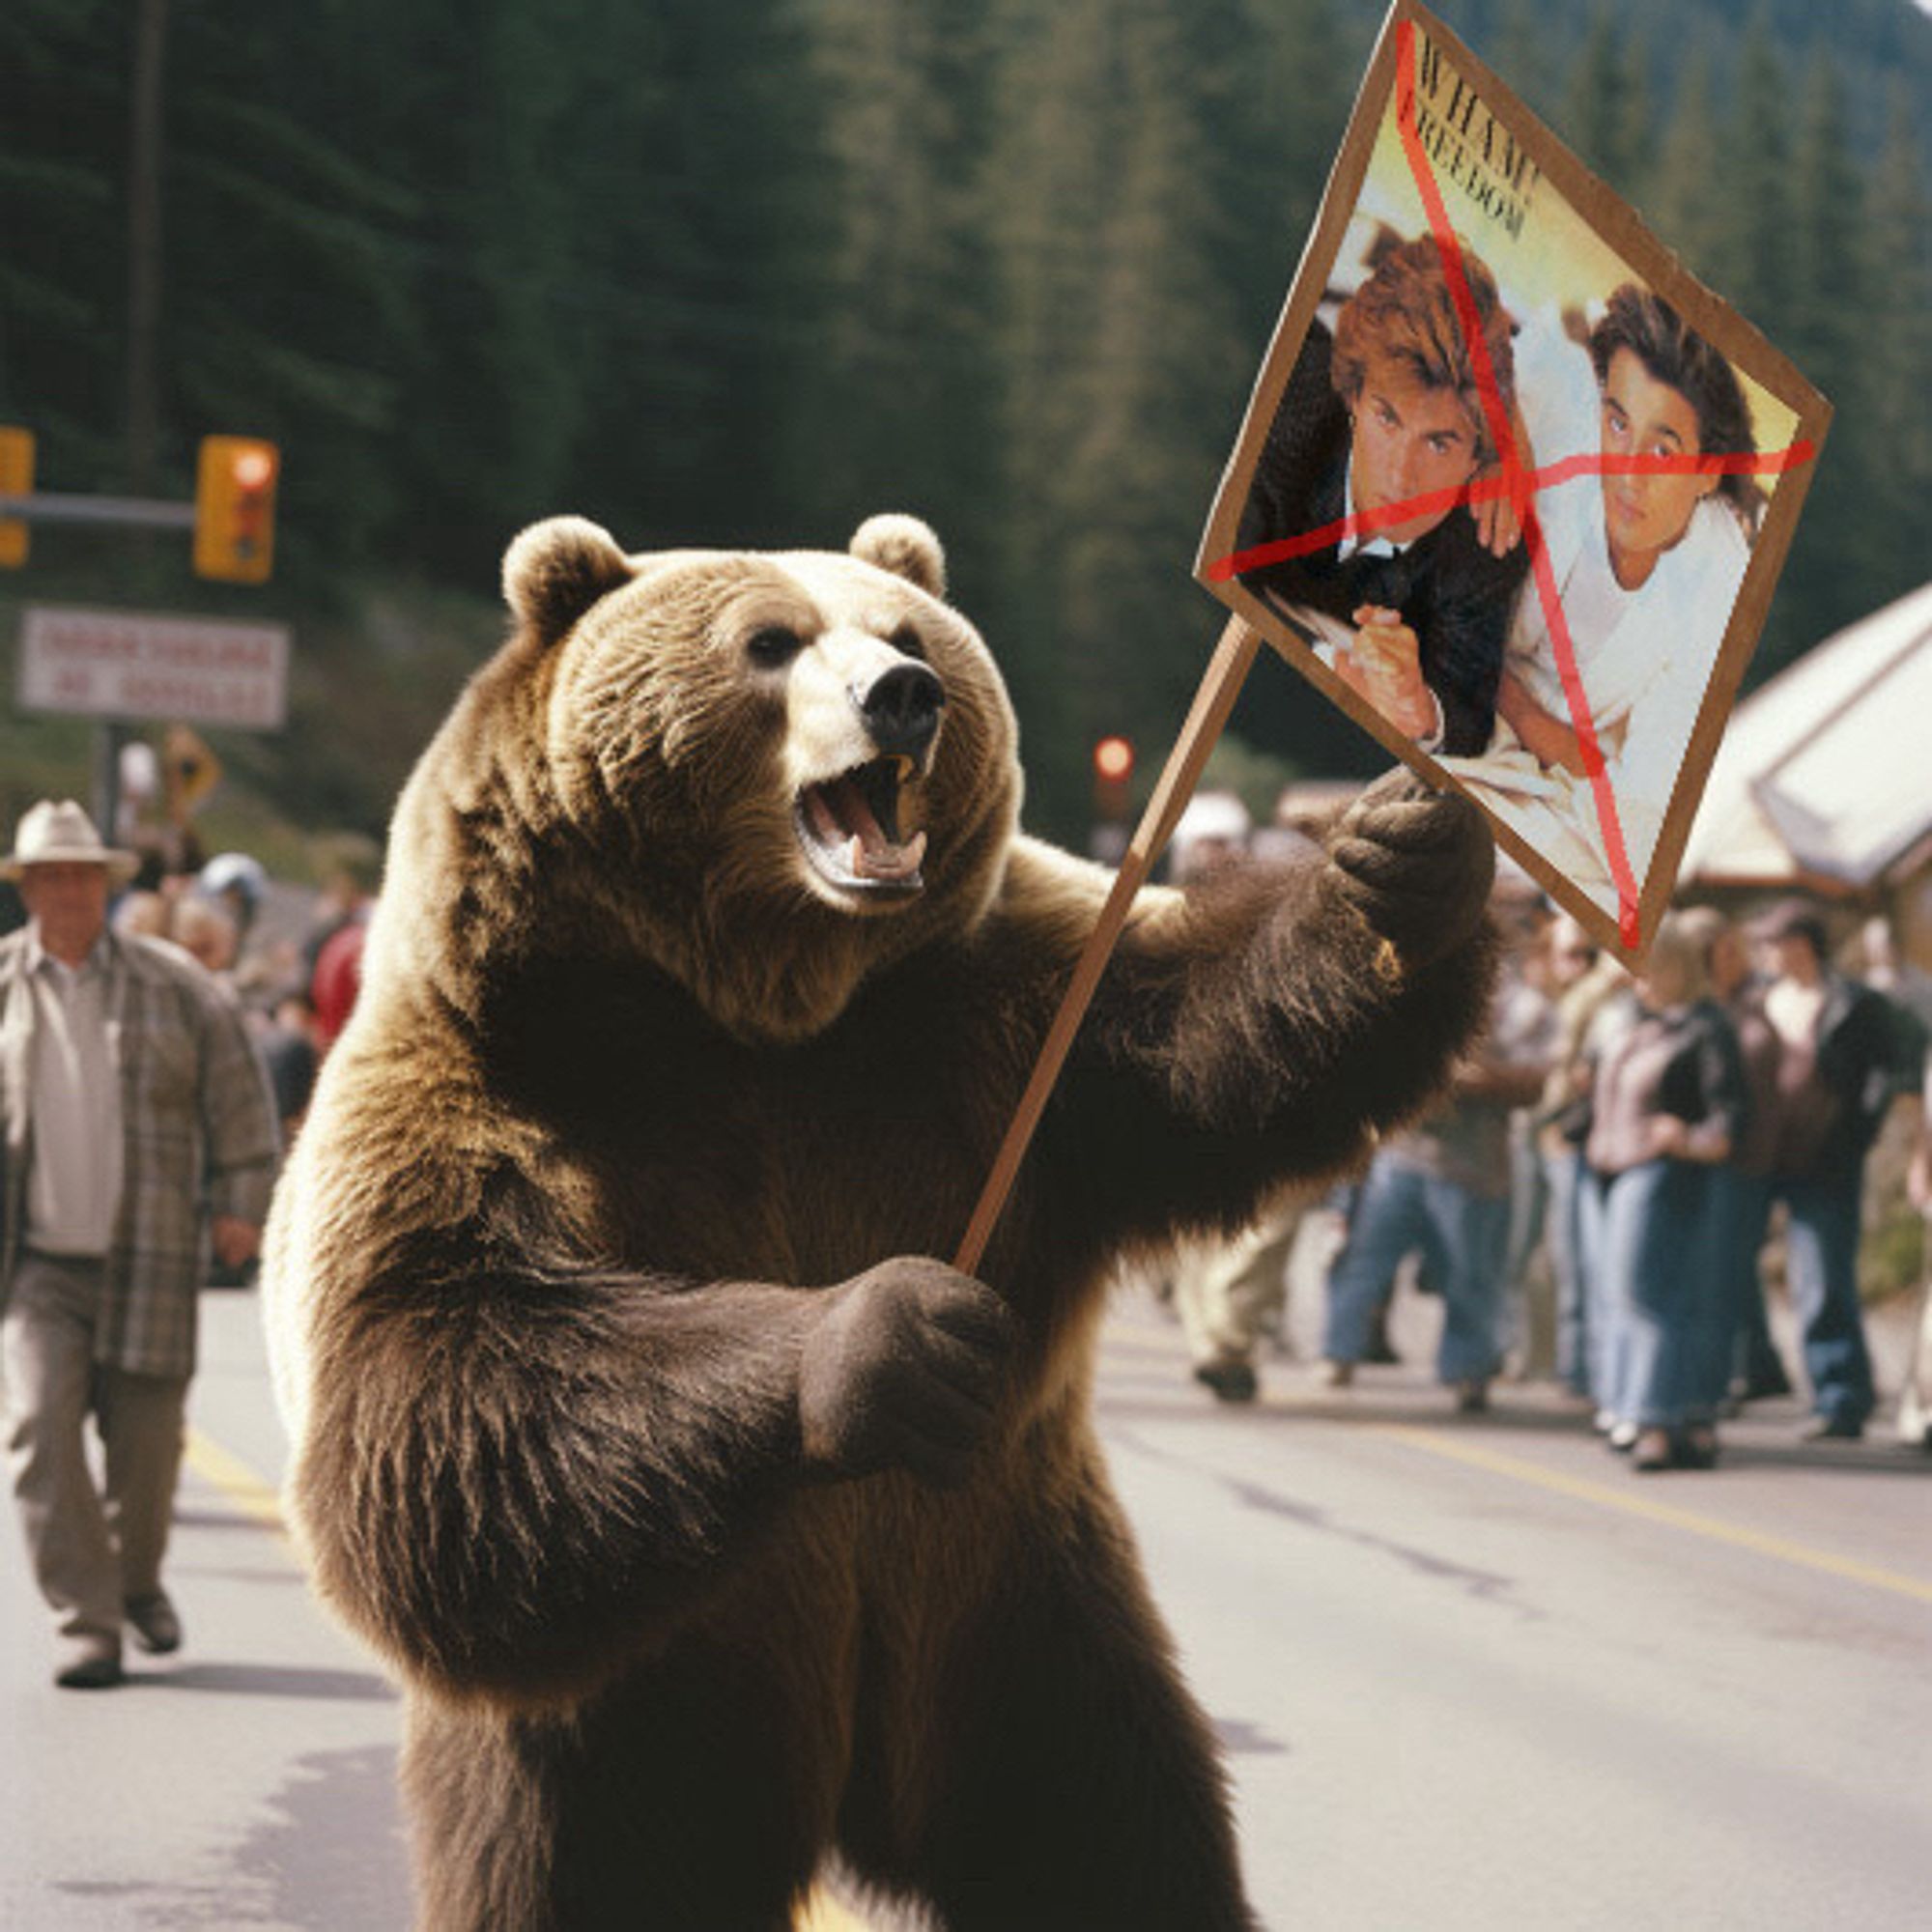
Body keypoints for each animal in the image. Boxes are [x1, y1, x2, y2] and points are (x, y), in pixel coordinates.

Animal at [261, 514, 1492, 1932]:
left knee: (1120, 1846)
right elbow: (444, 1386)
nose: (905, 696)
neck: (761, 1009)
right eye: (767, 641)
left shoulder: (990, 1030)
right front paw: (885, 1336)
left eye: (905, 633)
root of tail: (851, 1790)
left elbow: (1204, 1040)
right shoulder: (489, 1092)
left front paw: (1407, 864)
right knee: (591, 1868)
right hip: (646, 1712)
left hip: (1018, 1638)